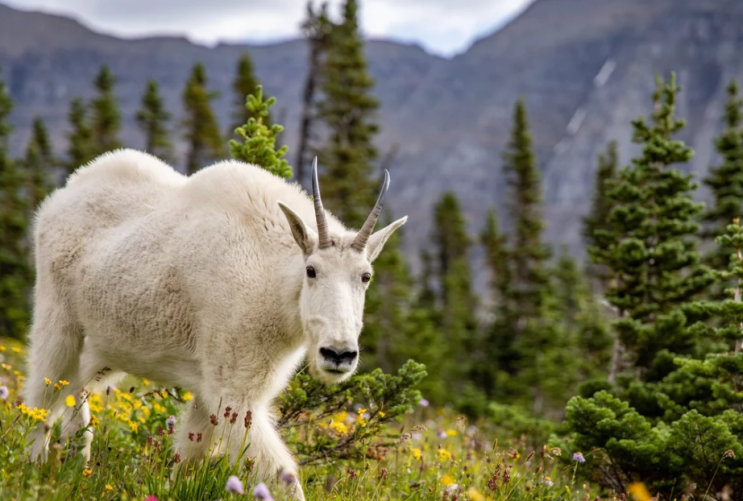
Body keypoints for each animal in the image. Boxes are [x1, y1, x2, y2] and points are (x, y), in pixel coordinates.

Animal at [24, 150, 406, 498]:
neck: (273, 280)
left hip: (107, 345)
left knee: (75, 389)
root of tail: (60, 196)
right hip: (57, 317)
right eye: (311, 270)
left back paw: (77, 462)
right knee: (43, 393)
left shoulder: (210, 388)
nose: (338, 354)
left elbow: (188, 456)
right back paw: (30, 469)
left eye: (366, 276)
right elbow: (283, 477)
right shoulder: (234, 389)